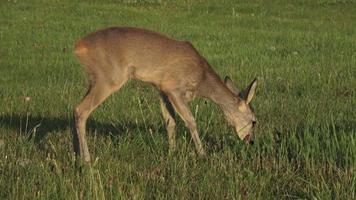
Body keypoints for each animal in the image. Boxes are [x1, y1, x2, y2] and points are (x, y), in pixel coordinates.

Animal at [73, 26, 258, 162]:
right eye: (254, 121)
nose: (251, 141)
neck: (202, 79)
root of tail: (79, 46)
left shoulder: (162, 90)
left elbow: (170, 122)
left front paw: (172, 152)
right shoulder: (174, 88)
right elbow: (191, 121)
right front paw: (202, 154)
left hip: (95, 80)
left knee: (76, 109)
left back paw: (76, 153)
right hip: (109, 78)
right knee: (81, 110)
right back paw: (87, 159)